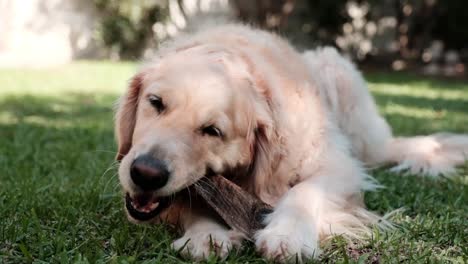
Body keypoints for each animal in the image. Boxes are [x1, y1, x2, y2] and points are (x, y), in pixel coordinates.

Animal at [115, 24, 468, 262]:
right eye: (156, 103)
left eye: (212, 131)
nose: (146, 173)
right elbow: (187, 201)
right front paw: (206, 233)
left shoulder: (339, 166)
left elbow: (304, 191)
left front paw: (287, 234)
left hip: (340, 84)